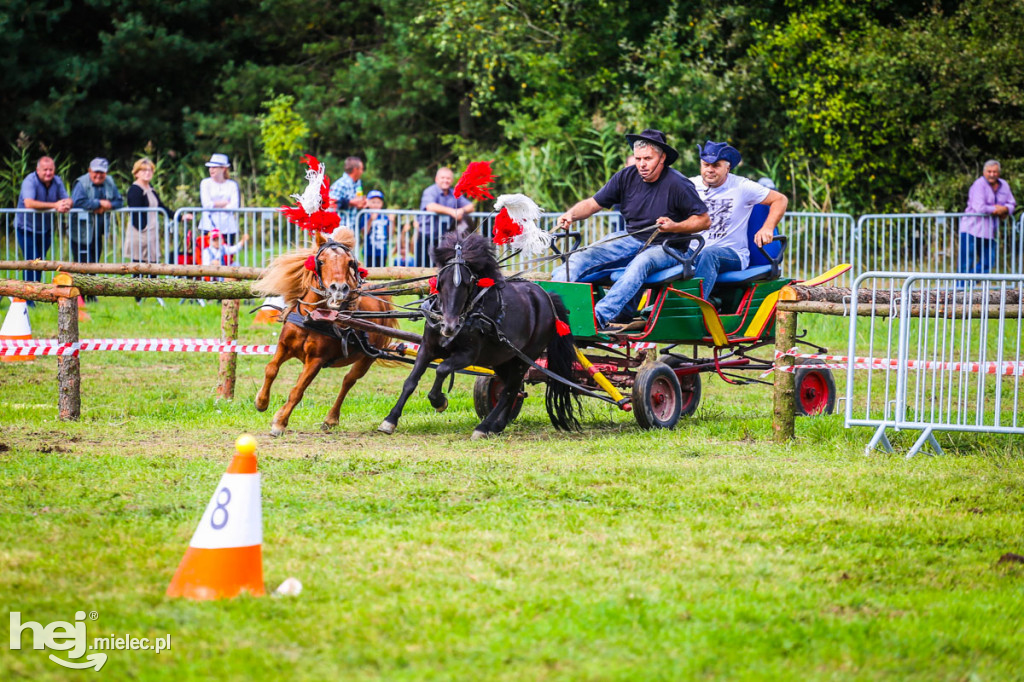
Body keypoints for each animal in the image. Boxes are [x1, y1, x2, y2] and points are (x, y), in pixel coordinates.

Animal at [251, 225, 399, 432]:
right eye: (321, 261)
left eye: (349, 262)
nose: (339, 289)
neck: (311, 318)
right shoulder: (284, 346)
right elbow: (271, 369)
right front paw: (261, 402)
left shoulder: (316, 360)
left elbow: (297, 391)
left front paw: (280, 421)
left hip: (367, 356)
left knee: (348, 380)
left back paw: (331, 418)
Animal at [380, 231, 581, 438]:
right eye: (440, 282)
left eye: (468, 283)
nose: (449, 327)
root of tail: (547, 297)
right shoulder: (427, 348)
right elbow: (410, 381)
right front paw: (390, 420)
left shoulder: (468, 355)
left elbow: (442, 369)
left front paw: (438, 400)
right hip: (503, 358)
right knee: (512, 389)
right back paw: (498, 425)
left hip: (524, 358)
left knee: (508, 390)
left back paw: (484, 427)